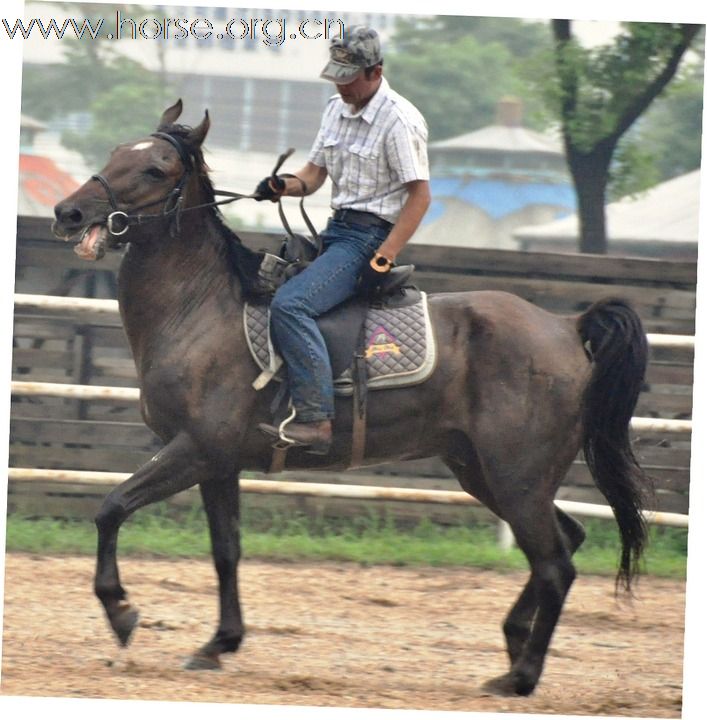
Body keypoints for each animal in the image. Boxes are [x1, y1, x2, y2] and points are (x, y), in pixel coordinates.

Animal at [54, 101, 652, 696]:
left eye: (156, 169)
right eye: (115, 153)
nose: (69, 212)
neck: (202, 309)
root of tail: (568, 326)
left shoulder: (194, 449)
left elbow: (111, 507)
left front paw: (121, 611)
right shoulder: (218, 464)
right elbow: (226, 550)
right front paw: (219, 643)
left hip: (517, 477)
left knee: (554, 564)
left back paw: (521, 677)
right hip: (485, 472)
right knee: (567, 539)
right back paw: (513, 647)